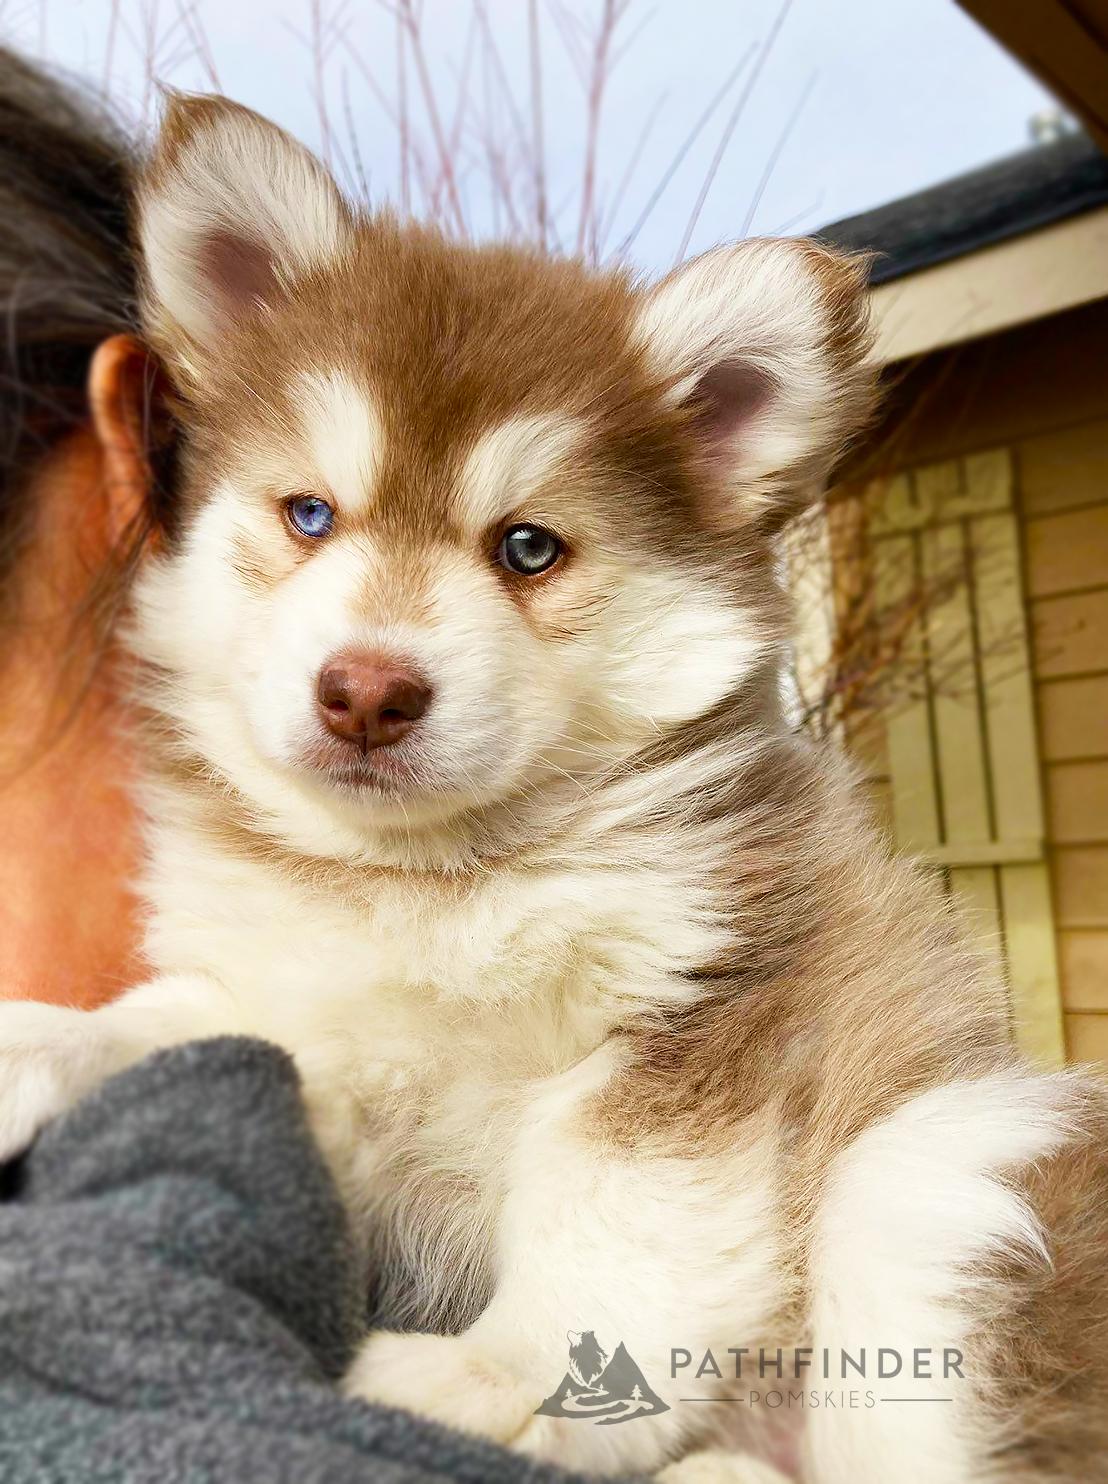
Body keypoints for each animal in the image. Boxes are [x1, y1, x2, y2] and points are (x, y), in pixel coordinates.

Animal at [1, 92, 1106, 1482]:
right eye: (308, 514)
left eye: (527, 547)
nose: (365, 690)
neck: (428, 879)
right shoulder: (311, 1028)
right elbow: (170, 1023)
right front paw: (30, 1042)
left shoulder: (702, 1003)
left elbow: (608, 1214)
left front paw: (494, 1375)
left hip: (942, 1166)